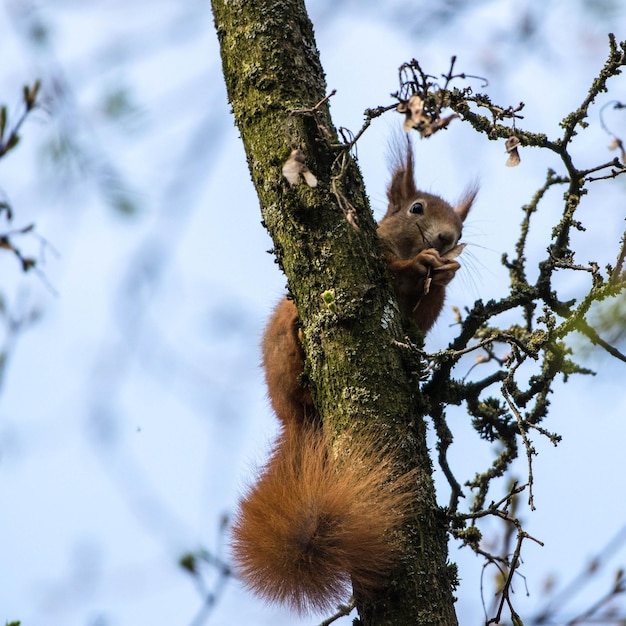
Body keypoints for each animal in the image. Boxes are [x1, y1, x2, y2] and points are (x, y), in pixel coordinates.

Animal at [229, 139, 472, 612]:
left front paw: (444, 272)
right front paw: (421, 263)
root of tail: (295, 420)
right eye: (417, 208)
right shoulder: (377, 253)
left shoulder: (421, 316)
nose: (447, 240)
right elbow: (393, 269)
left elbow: (421, 317)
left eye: (460, 227)